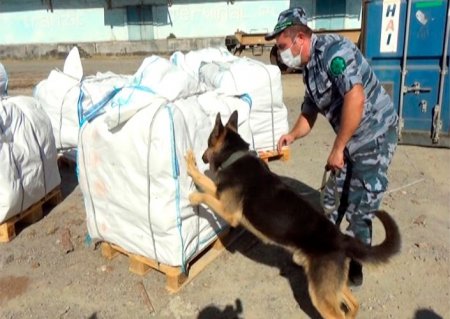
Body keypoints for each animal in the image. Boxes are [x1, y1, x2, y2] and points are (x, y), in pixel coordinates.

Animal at [185, 111, 402, 318]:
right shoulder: (221, 195)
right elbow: (206, 184)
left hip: (320, 294)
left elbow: (205, 193)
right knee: (353, 304)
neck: (235, 156)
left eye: (208, 142)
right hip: (331, 285)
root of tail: (341, 238)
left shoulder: (228, 211)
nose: (202, 157)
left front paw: (193, 187)